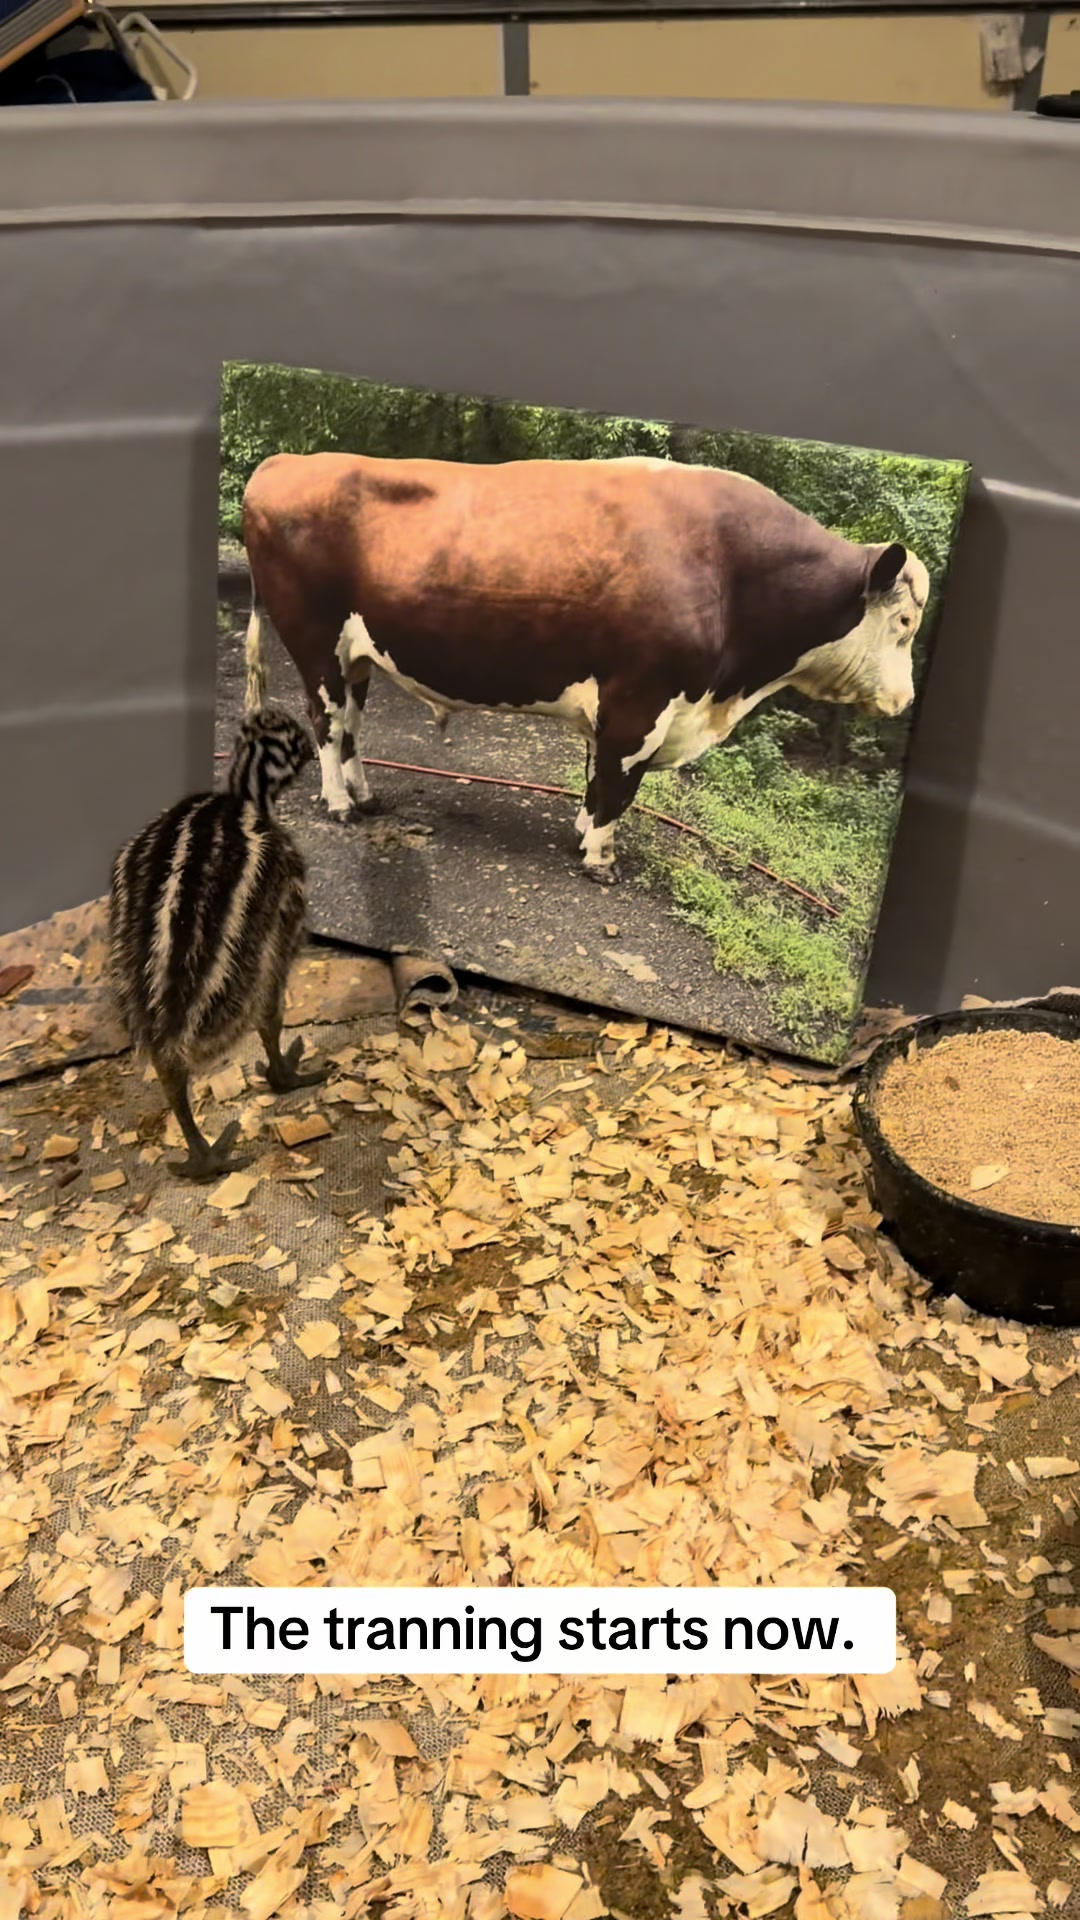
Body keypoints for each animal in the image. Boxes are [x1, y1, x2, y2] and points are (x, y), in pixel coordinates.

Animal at [241, 451, 929, 884]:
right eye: (904, 622)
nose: (905, 701)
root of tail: (286, 461)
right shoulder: (642, 698)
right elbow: (619, 783)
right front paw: (601, 858)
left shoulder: (620, 698)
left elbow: (599, 774)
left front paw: (581, 833)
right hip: (315, 642)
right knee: (326, 722)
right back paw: (338, 802)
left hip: (356, 653)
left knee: (350, 725)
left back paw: (365, 794)